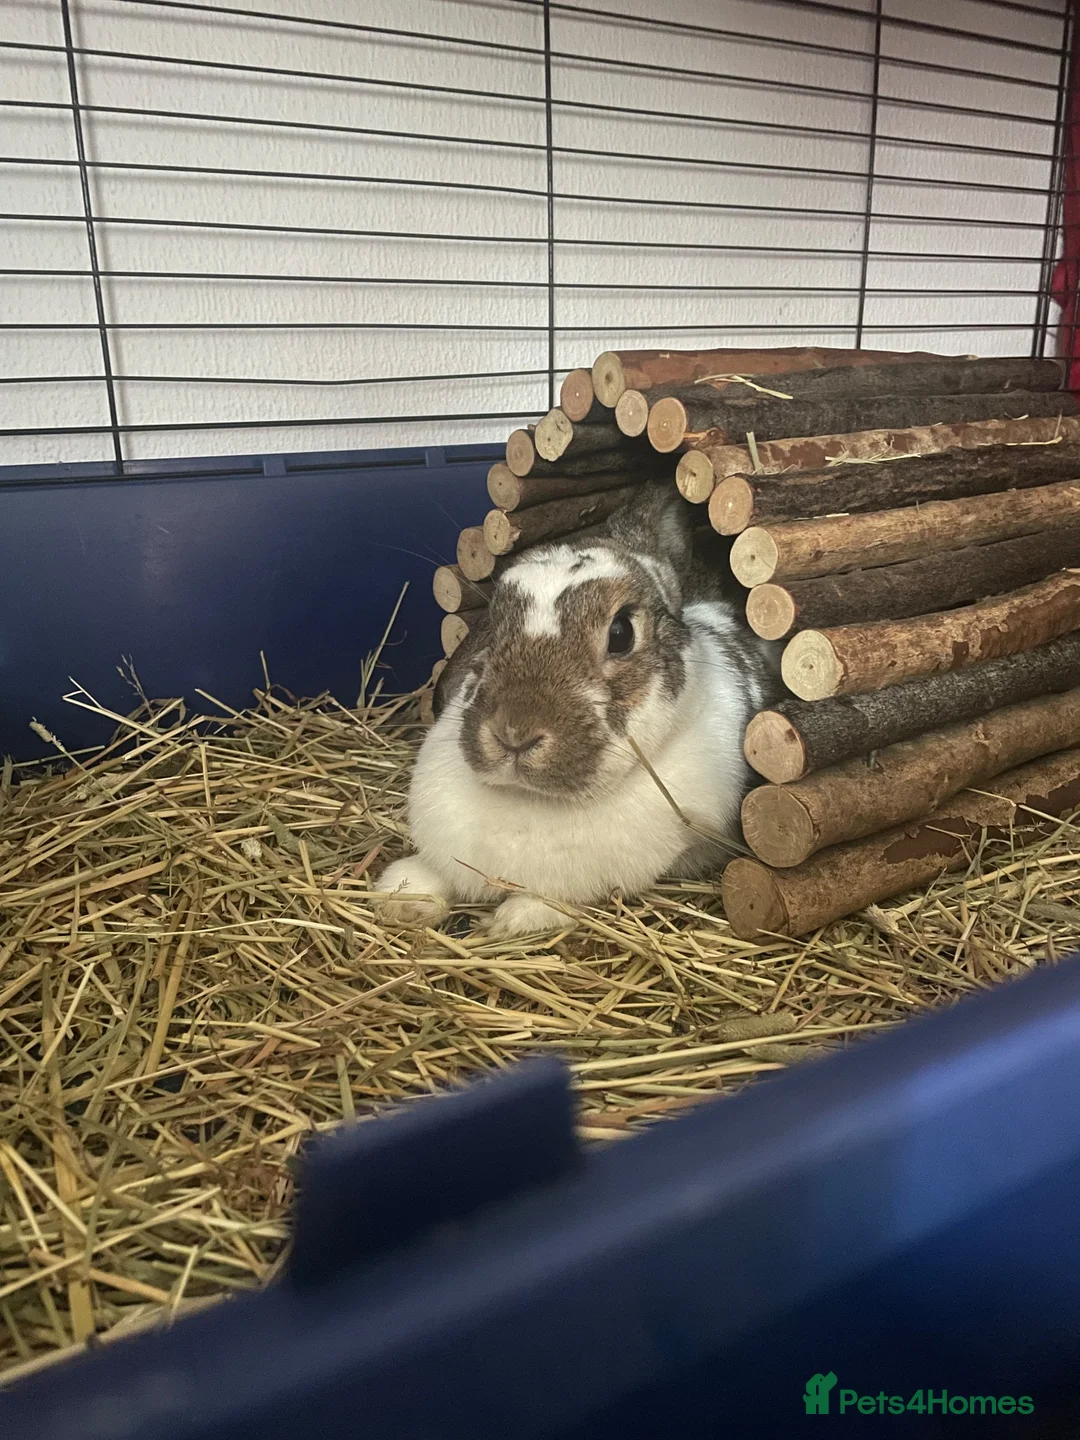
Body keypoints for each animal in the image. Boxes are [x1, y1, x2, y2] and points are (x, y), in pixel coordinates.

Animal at [375, 483, 784, 940]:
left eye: (621, 632)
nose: (514, 734)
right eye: (492, 621)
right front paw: (401, 896)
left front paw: (513, 920)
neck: (531, 800)